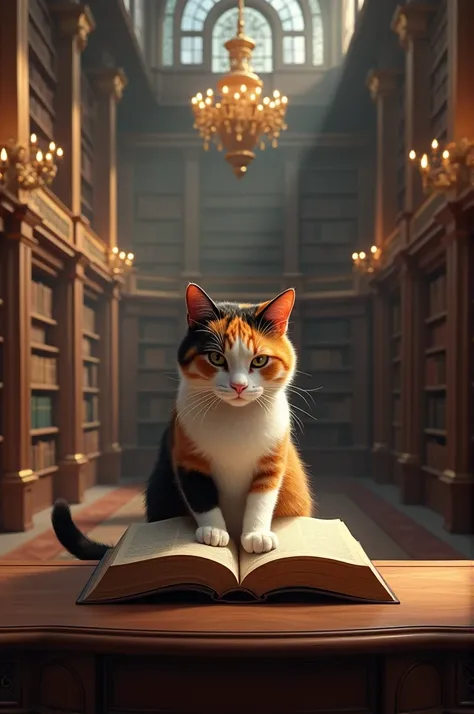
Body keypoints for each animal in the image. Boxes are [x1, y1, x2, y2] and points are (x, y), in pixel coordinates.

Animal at [51, 280, 314, 560]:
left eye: (260, 360)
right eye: (216, 358)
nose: (239, 386)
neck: (234, 418)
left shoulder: (273, 459)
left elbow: (262, 498)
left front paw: (257, 535)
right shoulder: (188, 456)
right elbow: (201, 496)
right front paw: (214, 532)